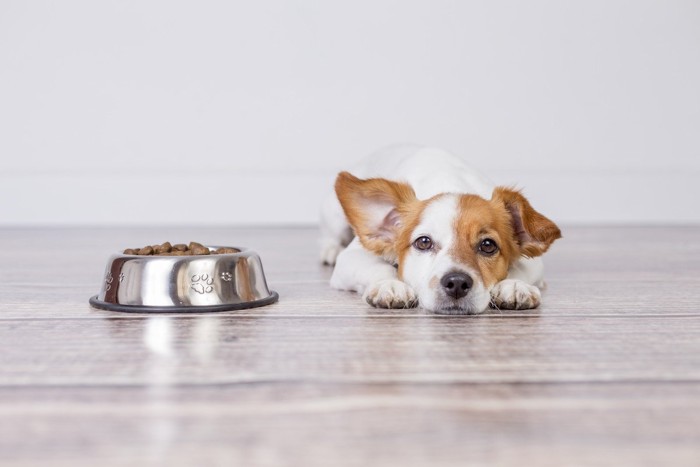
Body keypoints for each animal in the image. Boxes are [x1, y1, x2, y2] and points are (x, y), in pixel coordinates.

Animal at [320, 145, 560, 314]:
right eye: (423, 242)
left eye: (488, 245)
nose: (457, 283)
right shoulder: (352, 257)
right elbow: (380, 268)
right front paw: (390, 285)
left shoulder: (534, 263)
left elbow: (519, 269)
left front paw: (514, 286)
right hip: (335, 220)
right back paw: (329, 250)